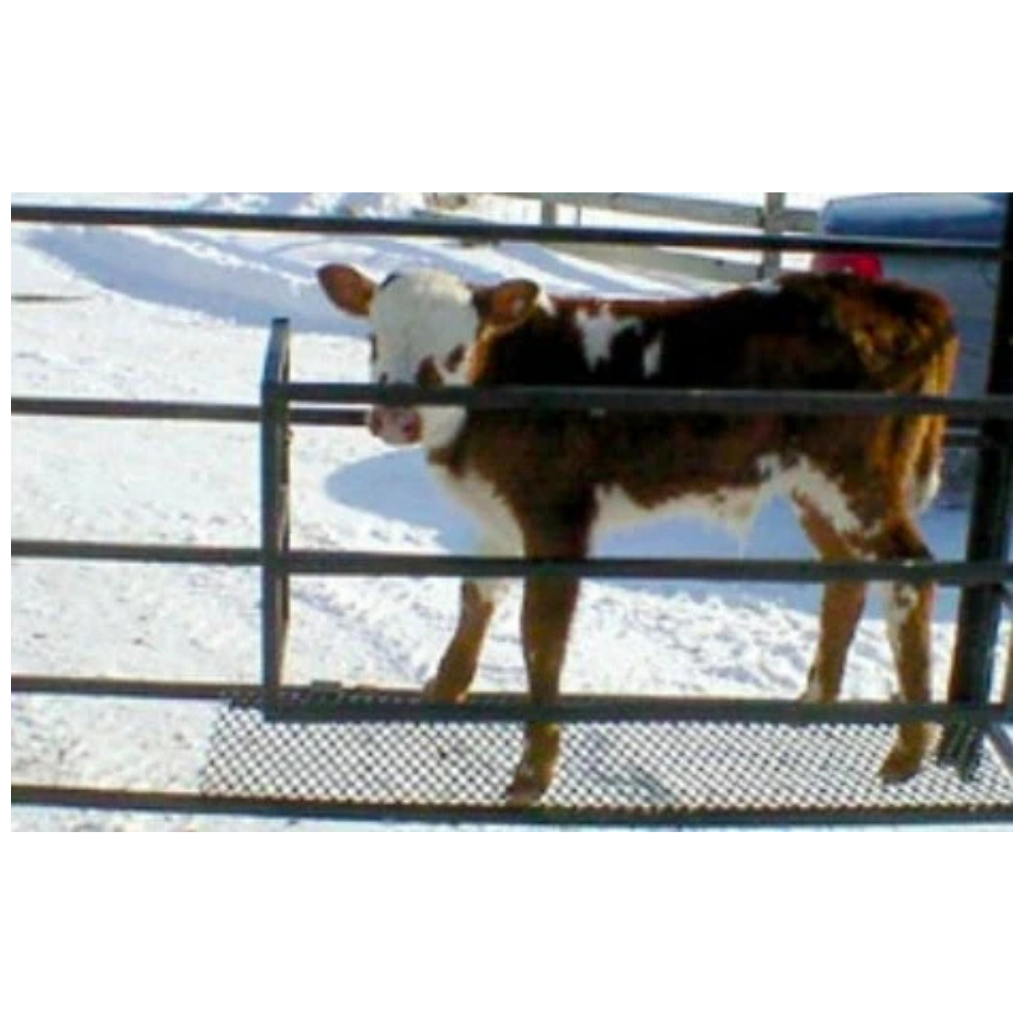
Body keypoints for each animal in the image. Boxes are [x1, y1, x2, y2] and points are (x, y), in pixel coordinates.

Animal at [318, 263, 958, 805]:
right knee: (846, 575)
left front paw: (533, 773)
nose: (396, 418)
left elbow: (541, 635)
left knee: (909, 571)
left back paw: (908, 749)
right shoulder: (499, 513)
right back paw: (816, 701)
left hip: (857, 480)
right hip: (813, 487)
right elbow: (478, 594)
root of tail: (902, 298)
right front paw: (444, 689)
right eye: (374, 339)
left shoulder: (557, 518)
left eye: (456, 351)